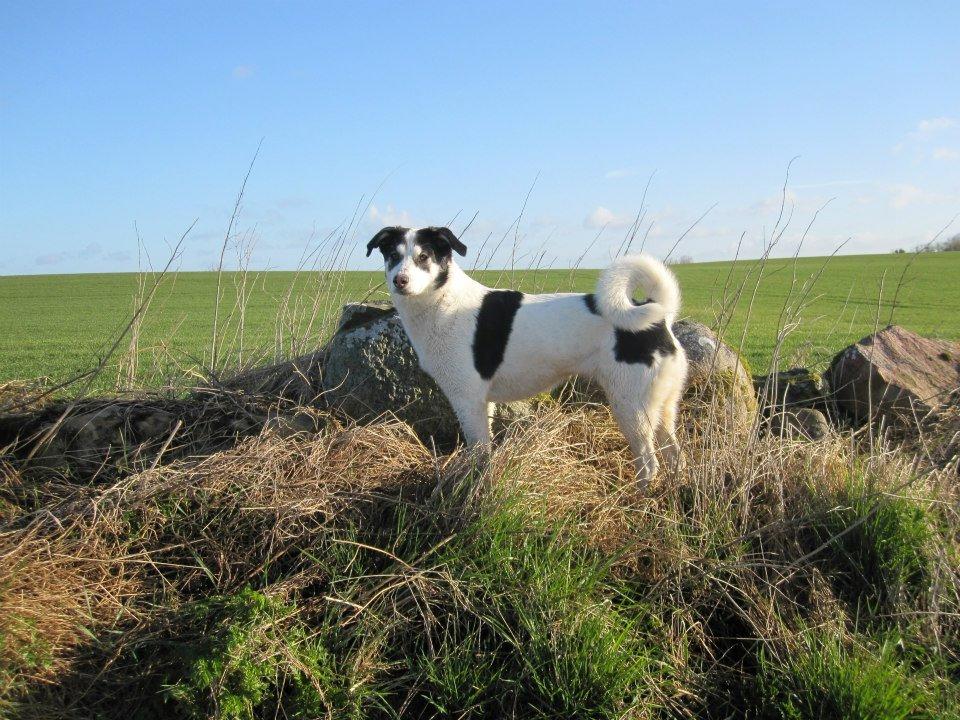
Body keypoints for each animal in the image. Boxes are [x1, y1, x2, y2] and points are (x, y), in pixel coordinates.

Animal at [368, 225, 688, 484]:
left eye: (424, 257)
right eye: (393, 256)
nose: (400, 280)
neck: (443, 299)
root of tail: (660, 315)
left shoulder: (468, 400)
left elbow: (478, 452)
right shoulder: (483, 403)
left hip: (630, 406)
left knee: (649, 463)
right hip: (662, 406)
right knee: (674, 455)